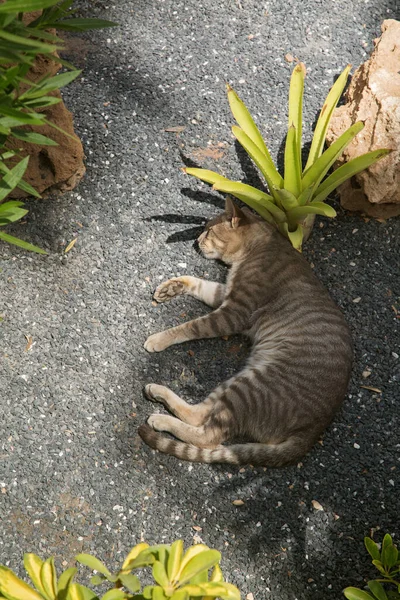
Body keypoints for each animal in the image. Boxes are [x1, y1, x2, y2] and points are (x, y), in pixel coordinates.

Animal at [138, 199, 354, 466]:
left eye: (209, 231)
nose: (197, 240)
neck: (261, 244)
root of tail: (314, 429)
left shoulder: (233, 312)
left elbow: (190, 326)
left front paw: (159, 338)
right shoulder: (224, 294)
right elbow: (197, 282)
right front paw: (171, 287)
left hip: (248, 389)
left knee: (208, 436)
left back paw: (160, 418)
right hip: (238, 382)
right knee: (200, 415)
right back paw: (157, 392)